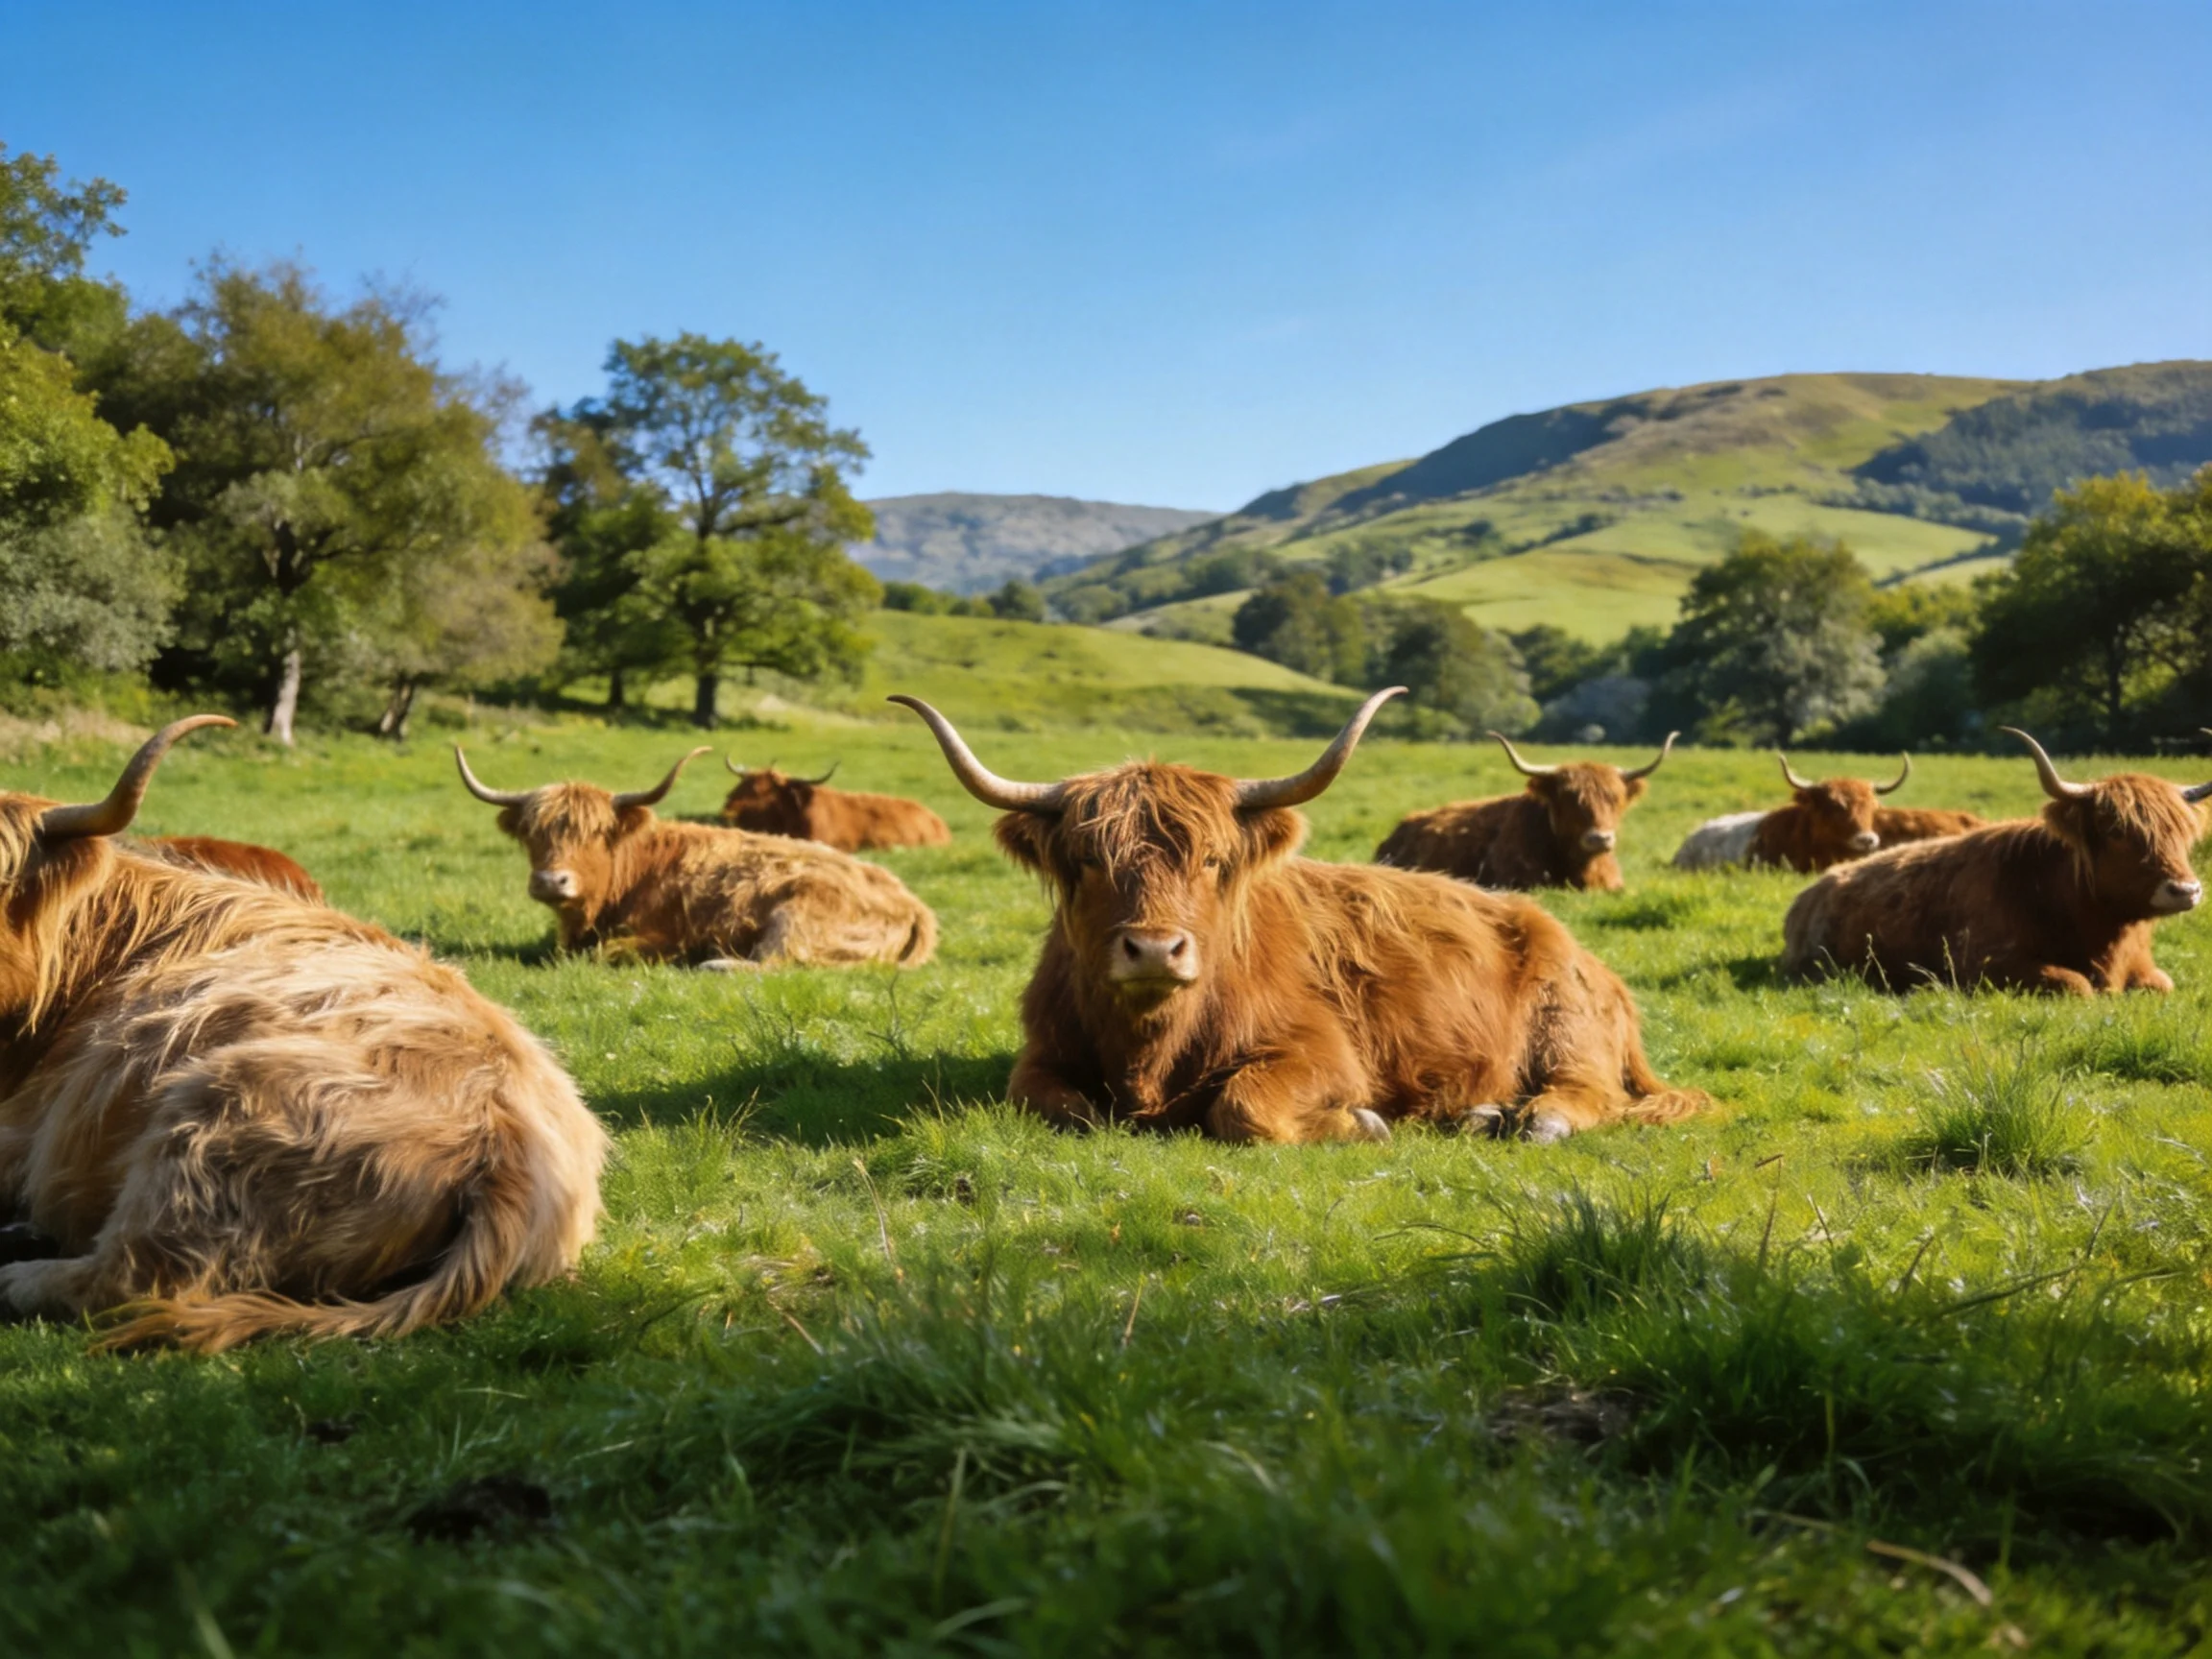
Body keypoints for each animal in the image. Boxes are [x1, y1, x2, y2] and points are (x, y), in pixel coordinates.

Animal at [1780, 728, 2209, 996]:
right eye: (2117, 830)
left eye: (2183, 831)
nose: (2185, 890)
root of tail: (1816, 887)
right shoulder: (1986, 966)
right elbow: (2077, 984)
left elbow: (2162, 984)